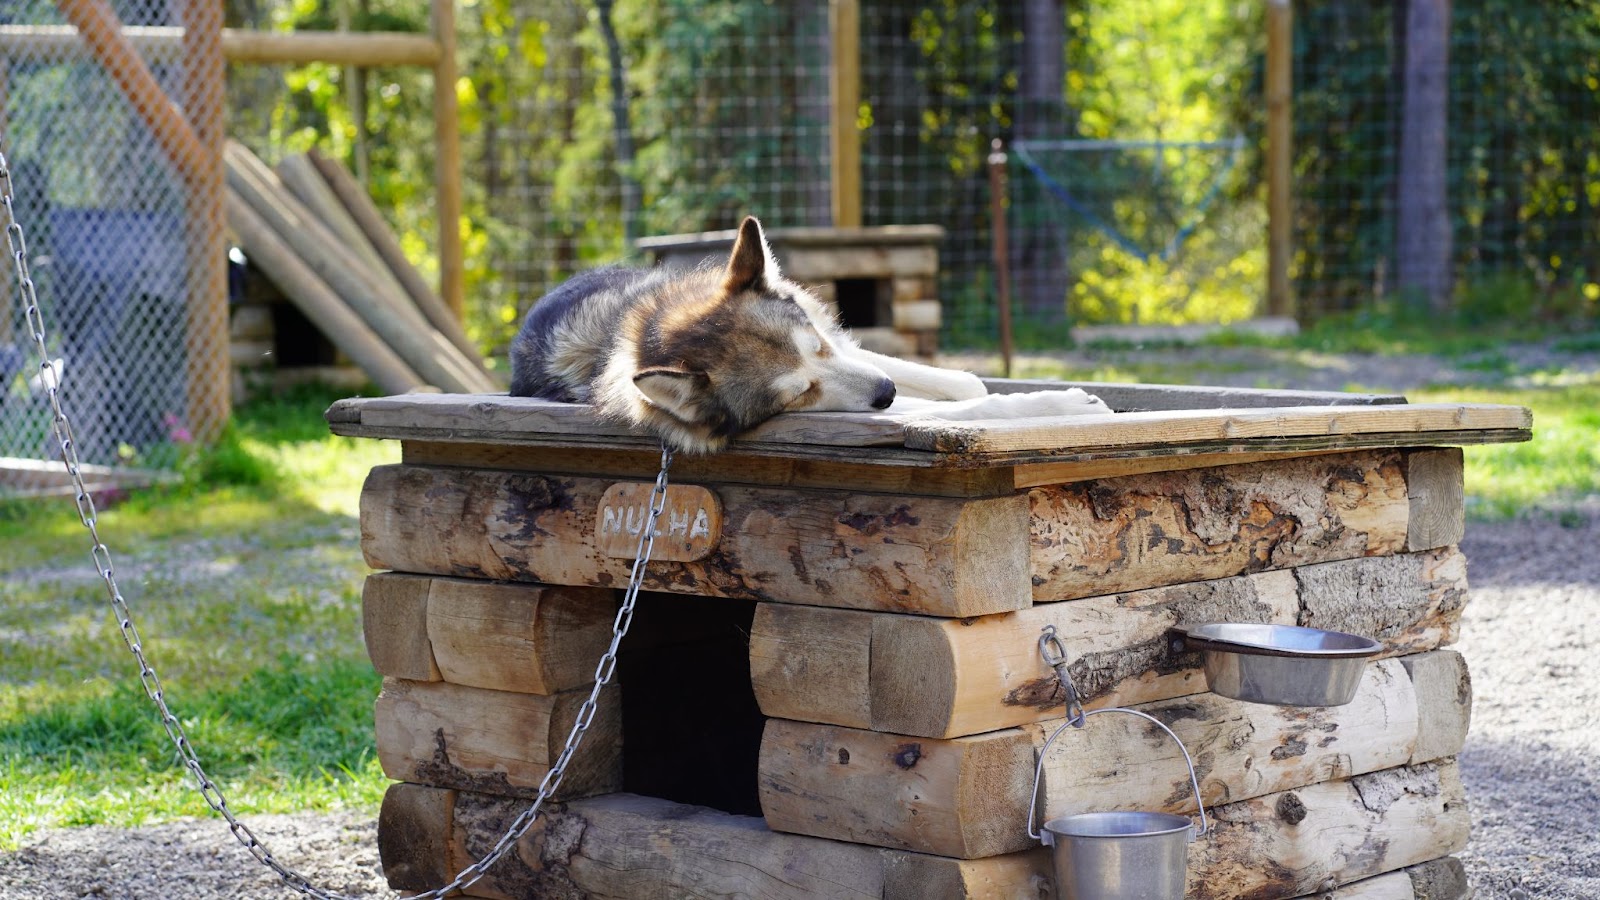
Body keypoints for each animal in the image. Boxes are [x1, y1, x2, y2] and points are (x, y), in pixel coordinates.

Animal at [512, 216, 1113, 451]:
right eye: (801, 394)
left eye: (817, 349)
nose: (884, 394)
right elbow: (967, 406)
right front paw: (1063, 406)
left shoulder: (847, 346)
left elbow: (965, 384)